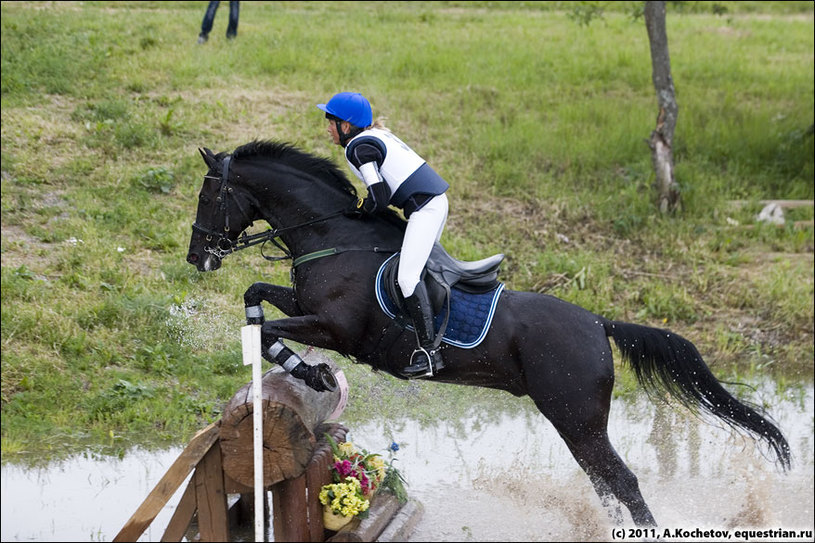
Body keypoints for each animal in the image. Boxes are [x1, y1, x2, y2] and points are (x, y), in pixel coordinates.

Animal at [186, 139, 792, 528]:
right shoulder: (306, 306)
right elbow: (256, 297)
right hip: (577, 424)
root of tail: (599, 323)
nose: (198, 257)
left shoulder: (336, 327)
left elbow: (271, 331)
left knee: (622, 482)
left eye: (209, 196)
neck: (332, 237)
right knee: (605, 482)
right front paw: (300, 365)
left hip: (576, 417)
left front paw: (309, 371)